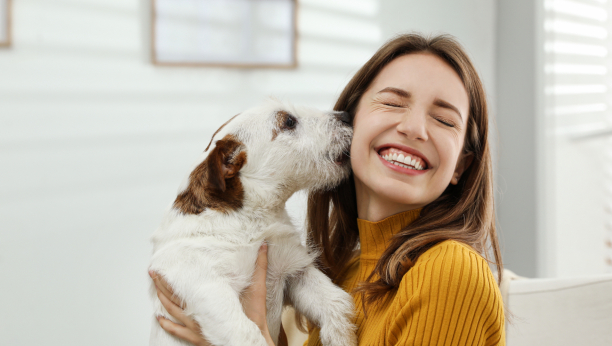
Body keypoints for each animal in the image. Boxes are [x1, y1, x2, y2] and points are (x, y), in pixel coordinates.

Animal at [149, 98, 358, 344]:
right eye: (289, 121)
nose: (347, 116)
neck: (253, 219)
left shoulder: (295, 272)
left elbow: (336, 302)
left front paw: (341, 337)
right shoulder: (206, 285)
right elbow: (247, 333)